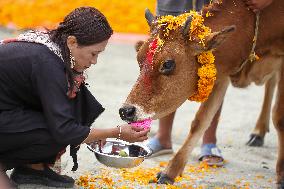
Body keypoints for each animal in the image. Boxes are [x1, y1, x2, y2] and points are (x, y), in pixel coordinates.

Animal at [119, 0, 284, 186]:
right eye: (139, 59)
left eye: (168, 64)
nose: (126, 111)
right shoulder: (220, 72)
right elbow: (201, 120)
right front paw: (170, 172)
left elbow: (279, 117)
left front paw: (282, 173)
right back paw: (258, 132)